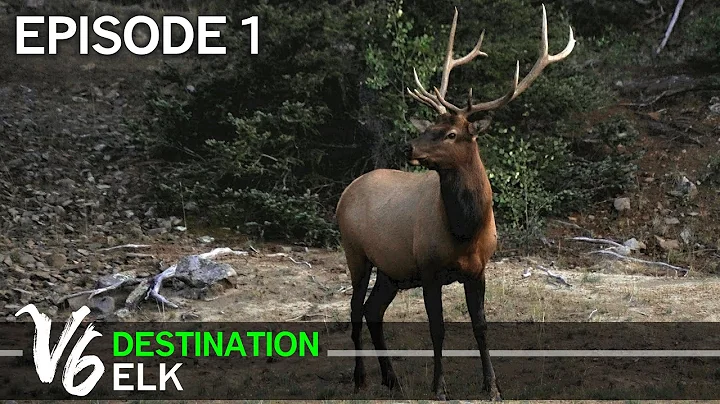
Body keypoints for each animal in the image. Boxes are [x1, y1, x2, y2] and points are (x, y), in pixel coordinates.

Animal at [335, 4, 574, 401]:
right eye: (430, 126)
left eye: (450, 133)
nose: (408, 147)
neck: (465, 231)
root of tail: (347, 191)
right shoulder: (429, 267)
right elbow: (438, 328)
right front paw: (439, 388)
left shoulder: (478, 270)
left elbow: (481, 327)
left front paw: (492, 387)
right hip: (355, 251)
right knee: (355, 309)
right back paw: (360, 379)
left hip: (392, 270)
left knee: (373, 310)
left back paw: (391, 379)